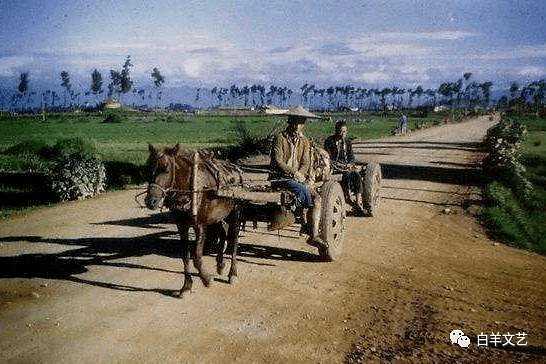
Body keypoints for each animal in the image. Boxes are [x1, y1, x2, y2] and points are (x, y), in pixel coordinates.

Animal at [144, 144, 242, 298]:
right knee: (223, 233)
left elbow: (197, 257)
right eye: (148, 169)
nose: (151, 201)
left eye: (166, 169)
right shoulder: (182, 226)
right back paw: (220, 264)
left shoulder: (200, 225)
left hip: (235, 213)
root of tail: (236, 170)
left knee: (234, 239)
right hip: (218, 217)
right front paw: (186, 286)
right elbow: (185, 256)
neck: (192, 190)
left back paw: (232, 273)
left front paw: (207, 279)